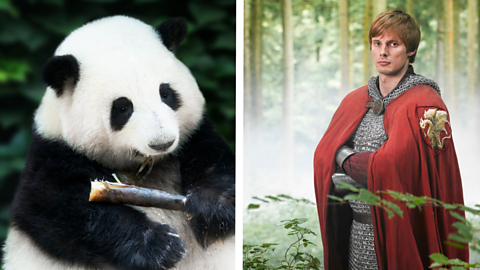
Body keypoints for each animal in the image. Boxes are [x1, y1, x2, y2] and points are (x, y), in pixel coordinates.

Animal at [2, 15, 235, 270]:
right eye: (123, 108)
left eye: (166, 94)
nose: (162, 142)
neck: (141, 167)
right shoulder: (52, 153)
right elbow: (56, 209)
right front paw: (160, 246)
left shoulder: (193, 137)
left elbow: (217, 163)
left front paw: (212, 209)